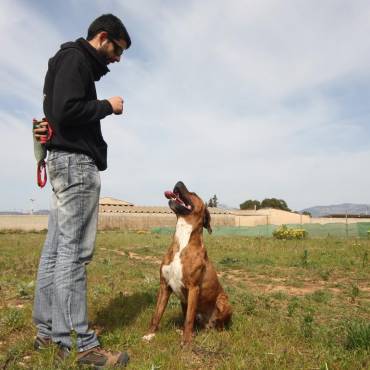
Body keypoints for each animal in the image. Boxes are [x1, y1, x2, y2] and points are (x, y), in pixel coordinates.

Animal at [142, 180, 231, 344]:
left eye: (193, 194)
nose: (179, 181)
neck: (183, 240)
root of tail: (208, 326)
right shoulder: (164, 286)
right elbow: (156, 314)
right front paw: (150, 334)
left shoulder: (193, 288)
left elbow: (189, 319)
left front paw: (186, 342)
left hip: (223, 301)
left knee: (219, 326)